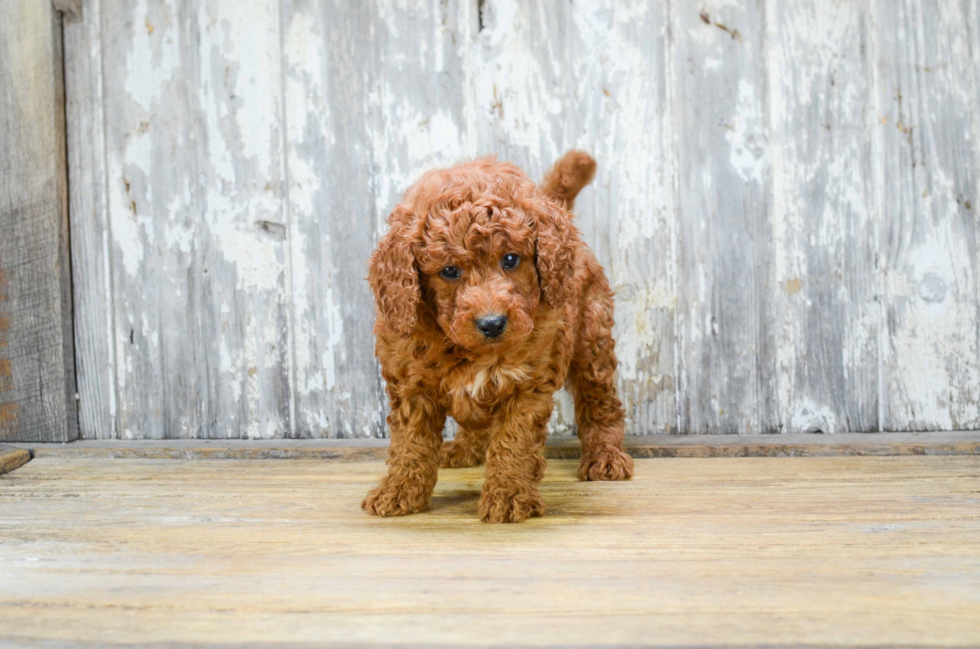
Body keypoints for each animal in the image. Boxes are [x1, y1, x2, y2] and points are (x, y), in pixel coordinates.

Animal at [364, 151, 632, 520]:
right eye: (449, 271)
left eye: (510, 259)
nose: (492, 324)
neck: (468, 350)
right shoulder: (410, 383)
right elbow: (410, 443)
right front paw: (398, 490)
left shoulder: (527, 384)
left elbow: (513, 441)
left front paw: (508, 494)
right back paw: (464, 449)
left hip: (593, 339)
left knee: (600, 402)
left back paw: (605, 456)